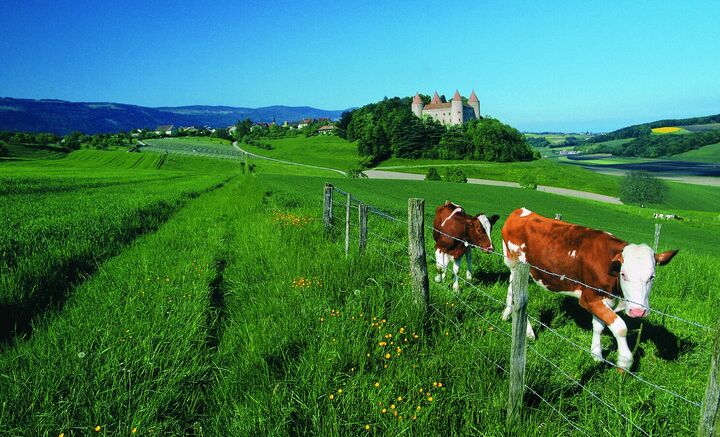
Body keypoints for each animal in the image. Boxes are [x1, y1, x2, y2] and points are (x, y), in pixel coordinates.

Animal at [500, 207, 676, 368]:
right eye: (624, 274)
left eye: (652, 276)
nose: (638, 311)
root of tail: (520, 211)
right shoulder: (588, 298)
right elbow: (620, 327)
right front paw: (624, 360)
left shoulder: (603, 299)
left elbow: (599, 326)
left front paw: (596, 355)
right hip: (516, 264)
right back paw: (529, 332)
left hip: (516, 270)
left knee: (512, 290)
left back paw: (506, 314)